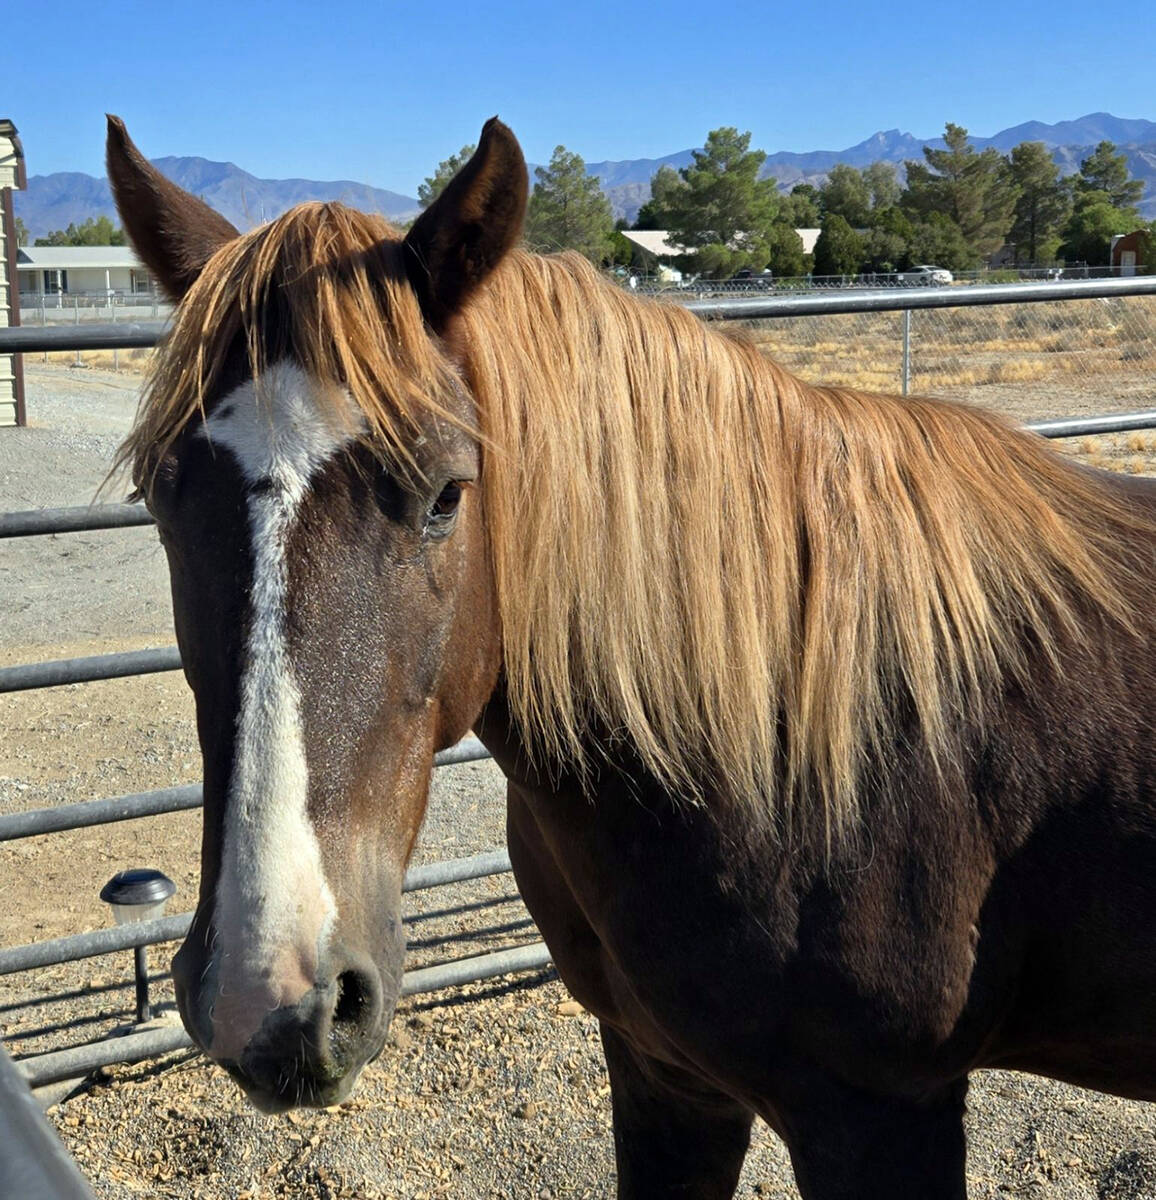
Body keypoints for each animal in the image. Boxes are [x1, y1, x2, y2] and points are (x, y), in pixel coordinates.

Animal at [106, 114, 1156, 1200]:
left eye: (446, 494)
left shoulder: (880, 1115)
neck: (781, 743)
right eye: (159, 495)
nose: (268, 995)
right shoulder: (663, 1071)